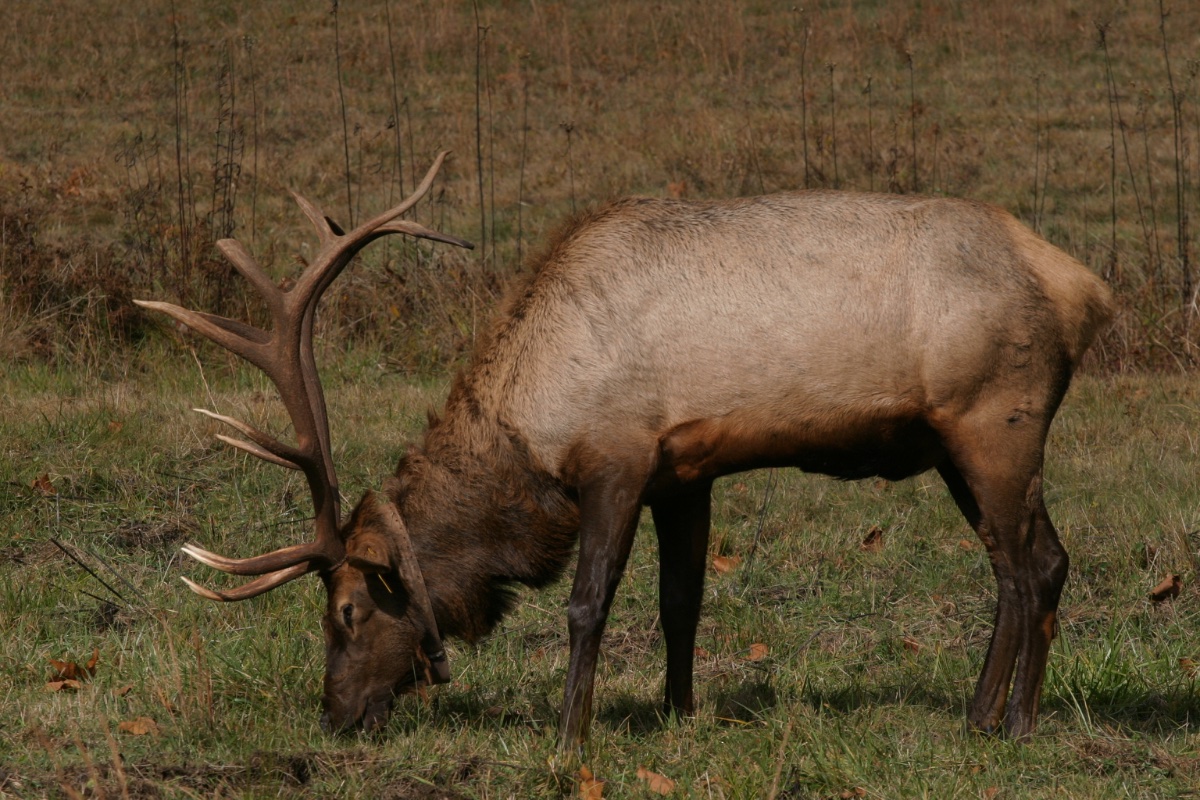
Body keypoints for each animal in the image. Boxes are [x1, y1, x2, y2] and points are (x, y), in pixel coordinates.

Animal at [137, 152, 1114, 751]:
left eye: (345, 612)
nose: (334, 714)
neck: (533, 427)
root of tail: (1087, 288)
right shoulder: (686, 472)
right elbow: (683, 601)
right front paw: (679, 713)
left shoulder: (618, 456)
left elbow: (587, 603)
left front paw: (571, 736)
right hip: (961, 441)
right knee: (1039, 560)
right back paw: (988, 714)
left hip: (994, 418)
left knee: (1028, 566)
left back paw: (1004, 723)